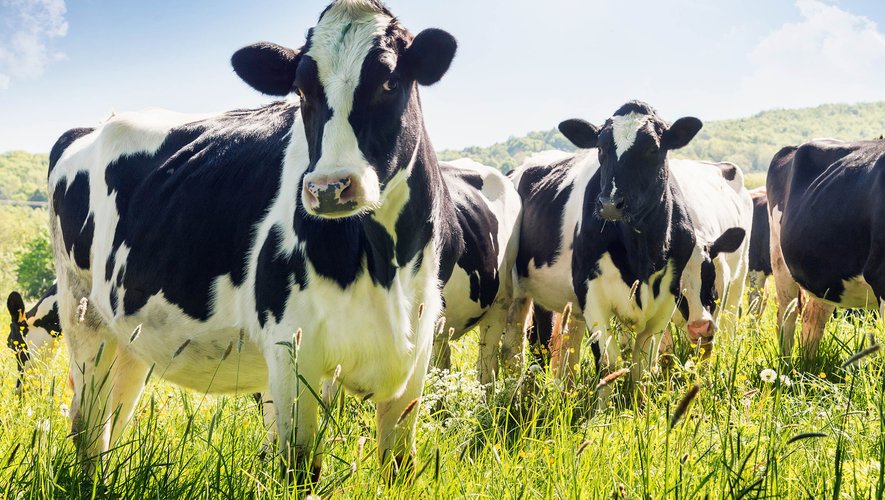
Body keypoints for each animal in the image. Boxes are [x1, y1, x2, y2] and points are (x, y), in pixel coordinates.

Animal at [49, 0, 459, 486]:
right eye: (301, 90)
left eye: (390, 81)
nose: (329, 188)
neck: (385, 262)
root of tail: (91, 127)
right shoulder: (292, 349)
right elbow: (301, 469)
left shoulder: (416, 351)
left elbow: (399, 465)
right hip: (83, 317)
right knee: (89, 424)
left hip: (130, 335)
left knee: (114, 417)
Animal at [509, 101, 752, 406]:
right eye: (601, 149)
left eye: (653, 149)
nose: (610, 203)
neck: (642, 254)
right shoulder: (591, 292)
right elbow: (610, 363)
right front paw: (602, 412)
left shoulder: (665, 298)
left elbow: (645, 365)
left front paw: (640, 407)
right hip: (526, 294)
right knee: (530, 341)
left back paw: (565, 390)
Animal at [767, 138, 885, 359]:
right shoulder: (880, 276)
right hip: (779, 262)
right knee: (787, 317)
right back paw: (785, 364)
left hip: (823, 274)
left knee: (812, 321)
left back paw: (808, 364)